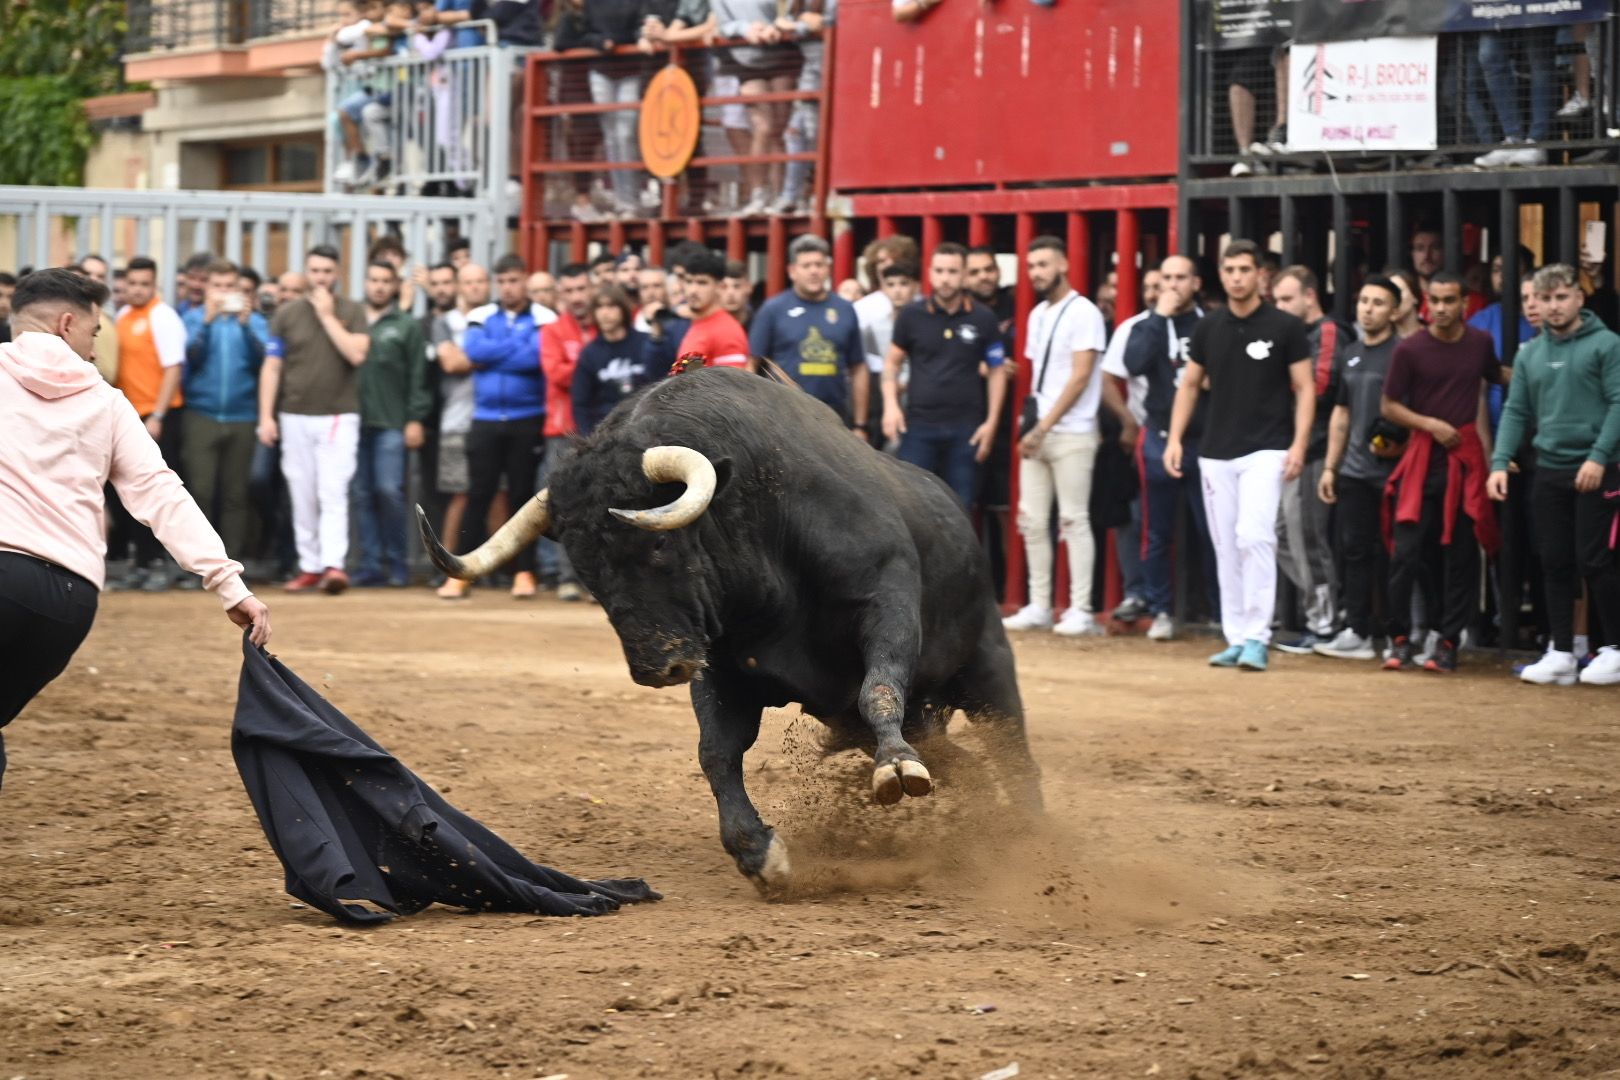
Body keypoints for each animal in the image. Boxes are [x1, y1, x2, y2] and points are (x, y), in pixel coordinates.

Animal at [417, 367, 1043, 893]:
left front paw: (897, 767)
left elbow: (880, 689)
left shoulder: (885, 602)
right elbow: (717, 752)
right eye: (586, 569)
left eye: (658, 547)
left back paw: (1027, 833)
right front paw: (760, 855)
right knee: (959, 758)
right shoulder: (718, 666)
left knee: (1012, 748)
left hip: (988, 666)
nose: (657, 667)